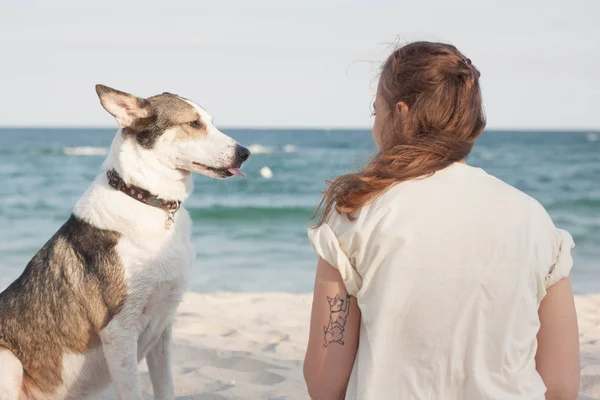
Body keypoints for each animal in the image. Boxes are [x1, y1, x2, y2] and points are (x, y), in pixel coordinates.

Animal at [0, 85, 251, 400]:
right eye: (194, 123)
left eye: (212, 122)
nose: (245, 153)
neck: (145, 198)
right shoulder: (119, 330)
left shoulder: (163, 327)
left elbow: (165, 386)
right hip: (7, 359)